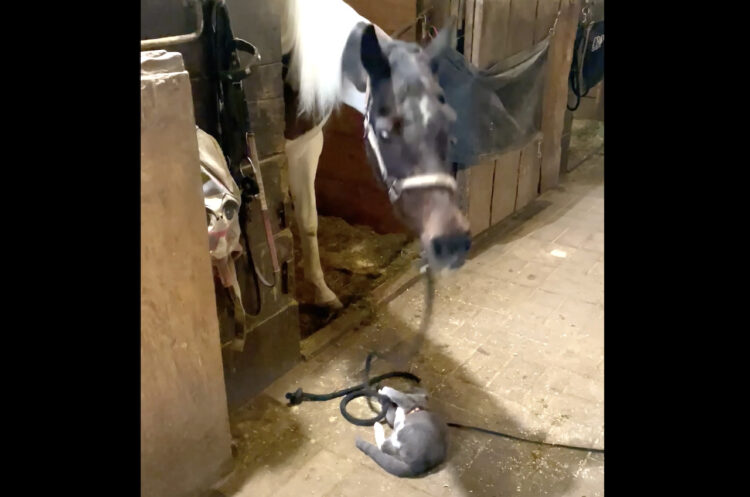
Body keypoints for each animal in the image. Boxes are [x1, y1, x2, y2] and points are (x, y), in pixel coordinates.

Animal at [281, 0, 471, 309]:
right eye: (383, 133)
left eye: (449, 122)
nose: (452, 242)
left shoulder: (305, 146)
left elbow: (308, 221)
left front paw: (322, 293)